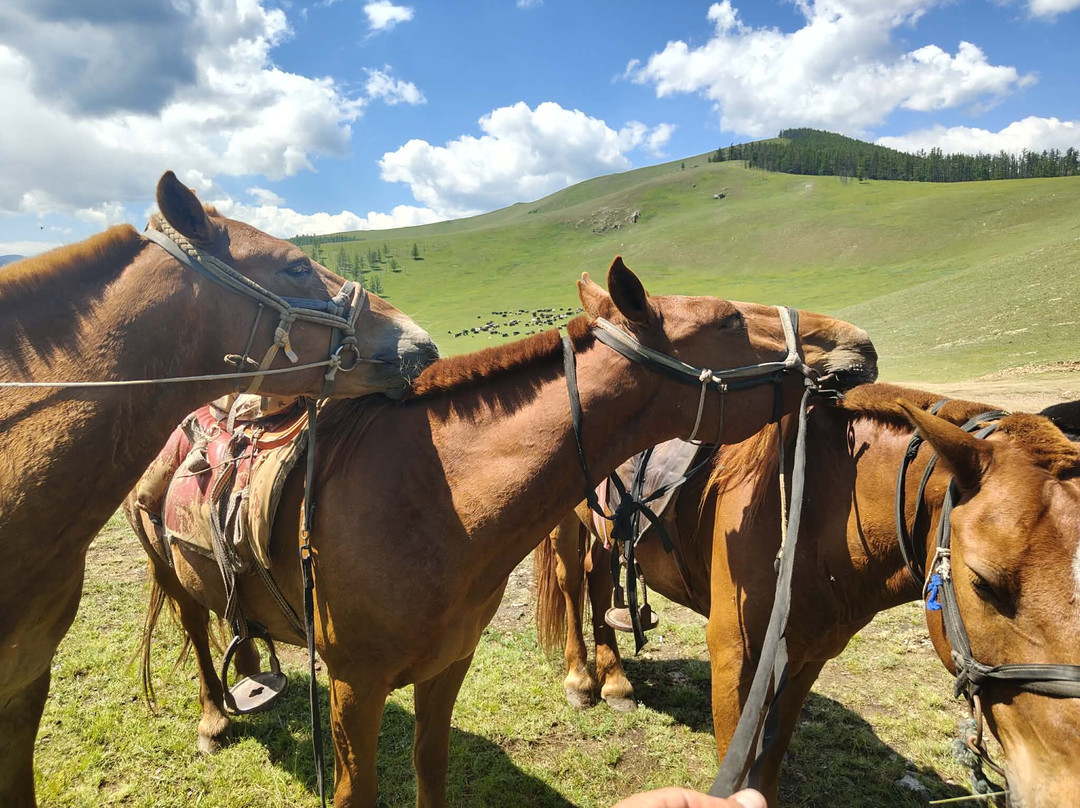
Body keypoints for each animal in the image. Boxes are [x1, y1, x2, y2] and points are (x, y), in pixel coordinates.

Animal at [0, 171, 438, 808]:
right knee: (192, 618)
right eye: (296, 267)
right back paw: (215, 714)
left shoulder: (27, 680)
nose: (420, 344)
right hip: (162, 559)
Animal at [127, 257, 878, 807]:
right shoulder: (352, 687)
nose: (858, 342)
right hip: (165, 568)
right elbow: (354, 793)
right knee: (193, 627)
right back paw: (215, 718)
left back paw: (252, 669)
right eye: (727, 318)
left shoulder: (447, 666)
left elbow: (430, 767)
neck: (434, 499)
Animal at [535, 382, 1080, 807]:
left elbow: (768, 760)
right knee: (571, 582)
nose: (1063, 790)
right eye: (982, 582)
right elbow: (737, 753)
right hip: (562, 523)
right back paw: (582, 680)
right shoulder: (735, 655)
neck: (815, 507)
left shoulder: (805, 657)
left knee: (599, 583)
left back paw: (616, 682)